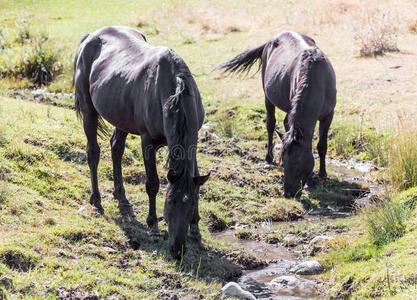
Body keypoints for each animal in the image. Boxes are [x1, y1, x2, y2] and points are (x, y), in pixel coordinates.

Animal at [73, 25, 210, 258]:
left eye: (191, 204)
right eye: (170, 202)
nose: (177, 250)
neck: (175, 94)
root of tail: (91, 36)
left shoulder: (193, 142)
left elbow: (196, 181)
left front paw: (195, 230)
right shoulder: (148, 141)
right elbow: (152, 183)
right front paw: (153, 225)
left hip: (120, 115)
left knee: (116, 148)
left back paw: (123, 200)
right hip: (88, 108)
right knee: (93, 152)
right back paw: (97, 201)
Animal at [219, 31, 336, 198]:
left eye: (297, 163)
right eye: (284, 163)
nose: (288, 193)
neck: (317, 79)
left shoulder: (328, 115)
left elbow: (321, 145)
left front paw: (322, 174)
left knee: (285, 123)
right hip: (267, 96)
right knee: (270, 124)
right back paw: (268, 157)